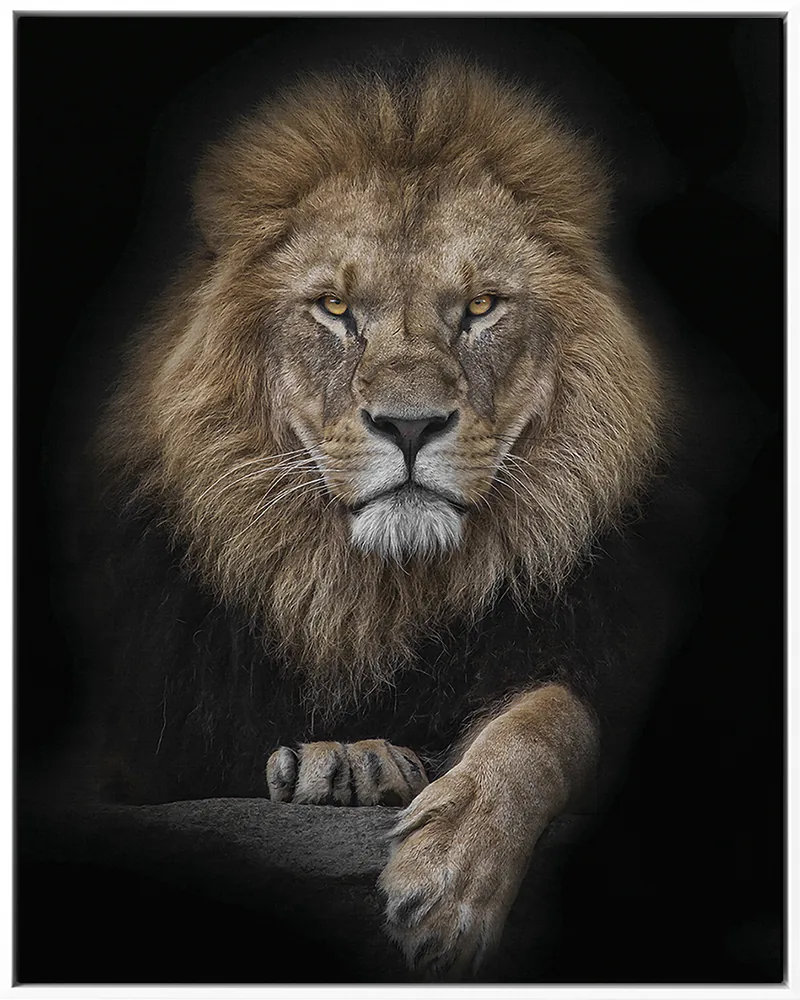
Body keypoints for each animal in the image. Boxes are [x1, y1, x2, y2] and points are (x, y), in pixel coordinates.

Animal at [86, 58, 684, 978]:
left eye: (480, 307)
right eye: (335, 309)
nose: (408, 426)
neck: (373, 596)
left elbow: (549, 722)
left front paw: (451, 878)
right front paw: (347, 760)